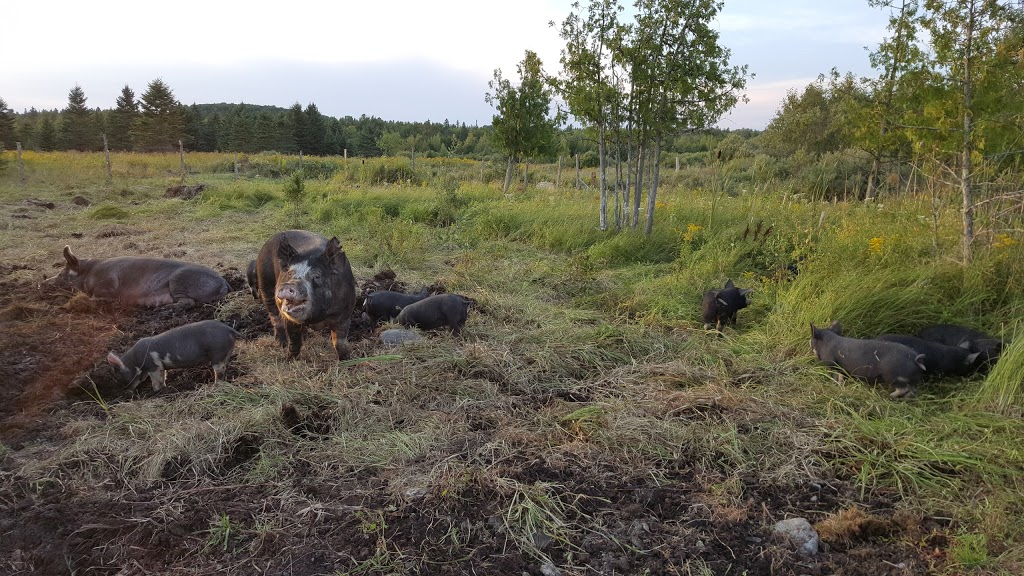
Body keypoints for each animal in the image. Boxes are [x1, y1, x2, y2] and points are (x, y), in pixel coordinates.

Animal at [41, 241, 230, 305]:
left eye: (62, 273)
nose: (41, 283)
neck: (90, 273)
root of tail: (224, 282)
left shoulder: (107, 284)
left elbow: (96, 297)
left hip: (178, 280)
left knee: (188, 302)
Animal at [106, 315, 239, 391]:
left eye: (119, 375)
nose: (127, 392)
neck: (136, 361)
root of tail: (228, 329)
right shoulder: (161, 366)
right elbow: (163, 375)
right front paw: (164, 387)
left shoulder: (153, 366)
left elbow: (156, 379)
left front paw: (156, 391)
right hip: (225, 352)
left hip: (217, 353)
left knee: (219, 371)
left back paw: (215, 385)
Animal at [253, 228, 358, 358]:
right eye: (289, 273)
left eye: (317, 276)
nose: (288, 285)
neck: (316, 318)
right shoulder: (289, 319)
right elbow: (294, 341)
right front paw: (290, 359)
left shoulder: (344, 316)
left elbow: (339, 343)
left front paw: (347, 360)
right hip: (264, 282)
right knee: (274, 316)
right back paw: (281, 343)